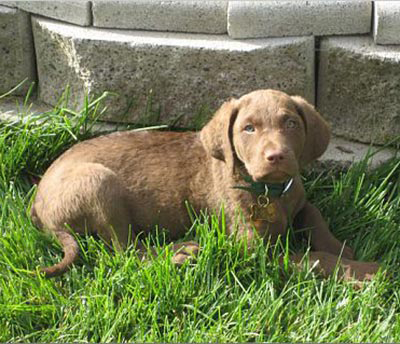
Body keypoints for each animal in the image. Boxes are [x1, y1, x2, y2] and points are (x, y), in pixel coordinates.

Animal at [30, 90, 378, 280]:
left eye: (291, 123)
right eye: (248, 128)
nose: (277, 156)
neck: (270, 193)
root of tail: (38, 208)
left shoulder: (298, 198)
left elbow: (313, 214)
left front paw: (338, 246)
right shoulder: (254, 249)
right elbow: (311, 259)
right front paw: (363, 271)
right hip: (99, 183)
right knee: (125, 250)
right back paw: (179, 252)